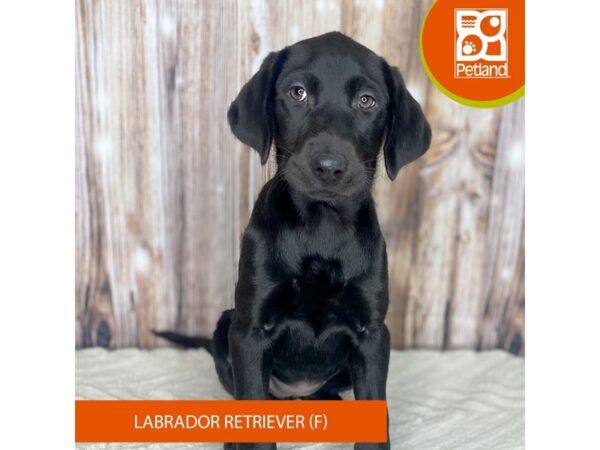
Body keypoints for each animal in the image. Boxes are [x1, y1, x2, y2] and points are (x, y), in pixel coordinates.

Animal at [159, 29, 428, 448]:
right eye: (297, 93)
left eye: (366, 100)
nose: (329, 167)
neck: (322, 226)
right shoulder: (250, 332)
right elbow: (254, 416)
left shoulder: (372, 335)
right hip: (225, 328)